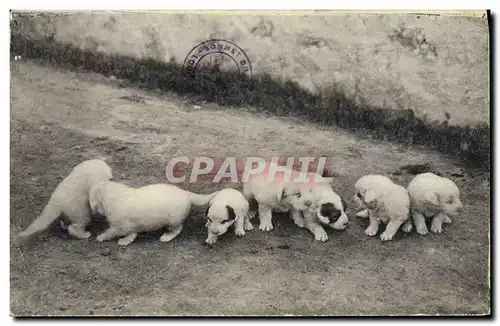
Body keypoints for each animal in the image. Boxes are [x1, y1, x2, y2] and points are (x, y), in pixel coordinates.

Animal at [90, 180, 219, 246]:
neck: (115, 196)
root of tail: (186, 193)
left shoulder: (120, 226)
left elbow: (113, 232)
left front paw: (103, 237)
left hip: (173, 221)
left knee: (178, 229)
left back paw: (166, 237)